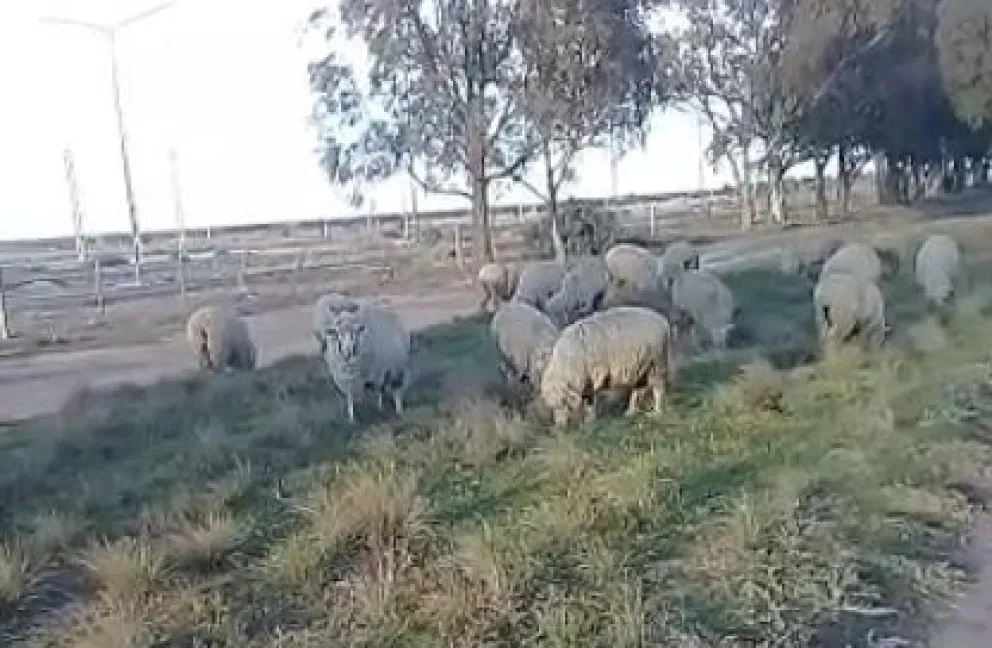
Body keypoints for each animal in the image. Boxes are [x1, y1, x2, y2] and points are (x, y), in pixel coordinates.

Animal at [539, 306, 673, 426]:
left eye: (563, 403)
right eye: (552, 407)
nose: (560, 426)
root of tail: (662, 320)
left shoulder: (594, 375)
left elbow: (590, 398)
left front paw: (589, 419)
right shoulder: (585, 379)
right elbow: (588, 398)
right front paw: (589, 419)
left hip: (656, 361)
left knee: (658, 388)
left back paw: (657, 412)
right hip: (640, 365)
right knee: (638, 388)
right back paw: (630, 412)